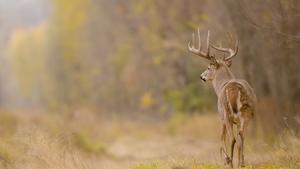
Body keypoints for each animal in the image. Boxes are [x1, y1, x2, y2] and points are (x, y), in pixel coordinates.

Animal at [188, 28, 255, 167]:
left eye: (208, 67)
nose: (201, 76)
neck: (221, 86)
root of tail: (235, 89)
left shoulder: (221, 117)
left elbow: (221, 137)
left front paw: (225, 159)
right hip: (247, 113)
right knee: (241, 136)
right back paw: (241, 163)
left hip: (227, 114)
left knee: (233, 139)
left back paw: (230, 162)